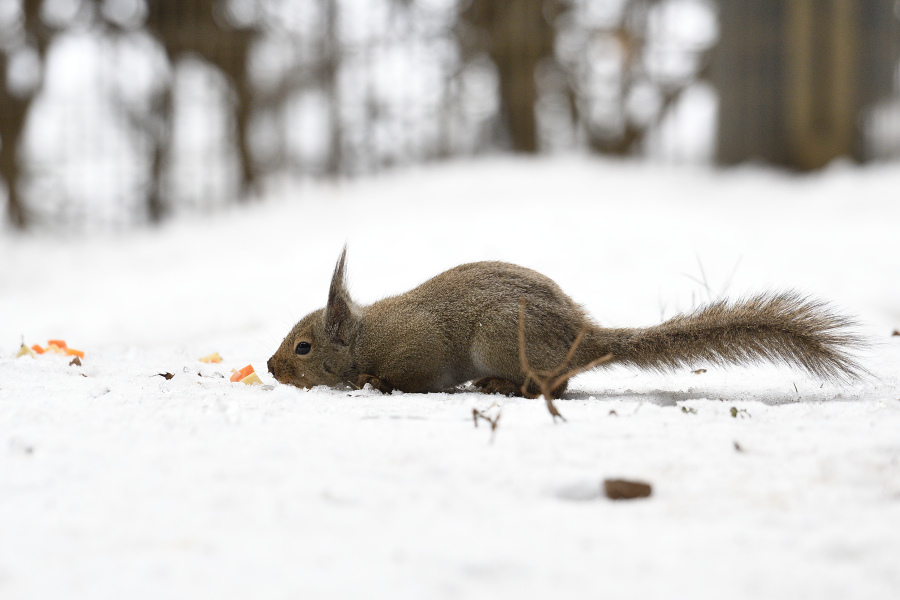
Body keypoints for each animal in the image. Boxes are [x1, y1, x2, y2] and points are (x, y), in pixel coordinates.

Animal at [266, 246, 864, 396]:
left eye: (303, 348)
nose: (270, 368)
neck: (367, 337)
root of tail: (584, 339)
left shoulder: (419, 348)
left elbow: (410, 376)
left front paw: (373, 381)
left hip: (503, 338)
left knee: (556, 385)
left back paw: (504, 386)